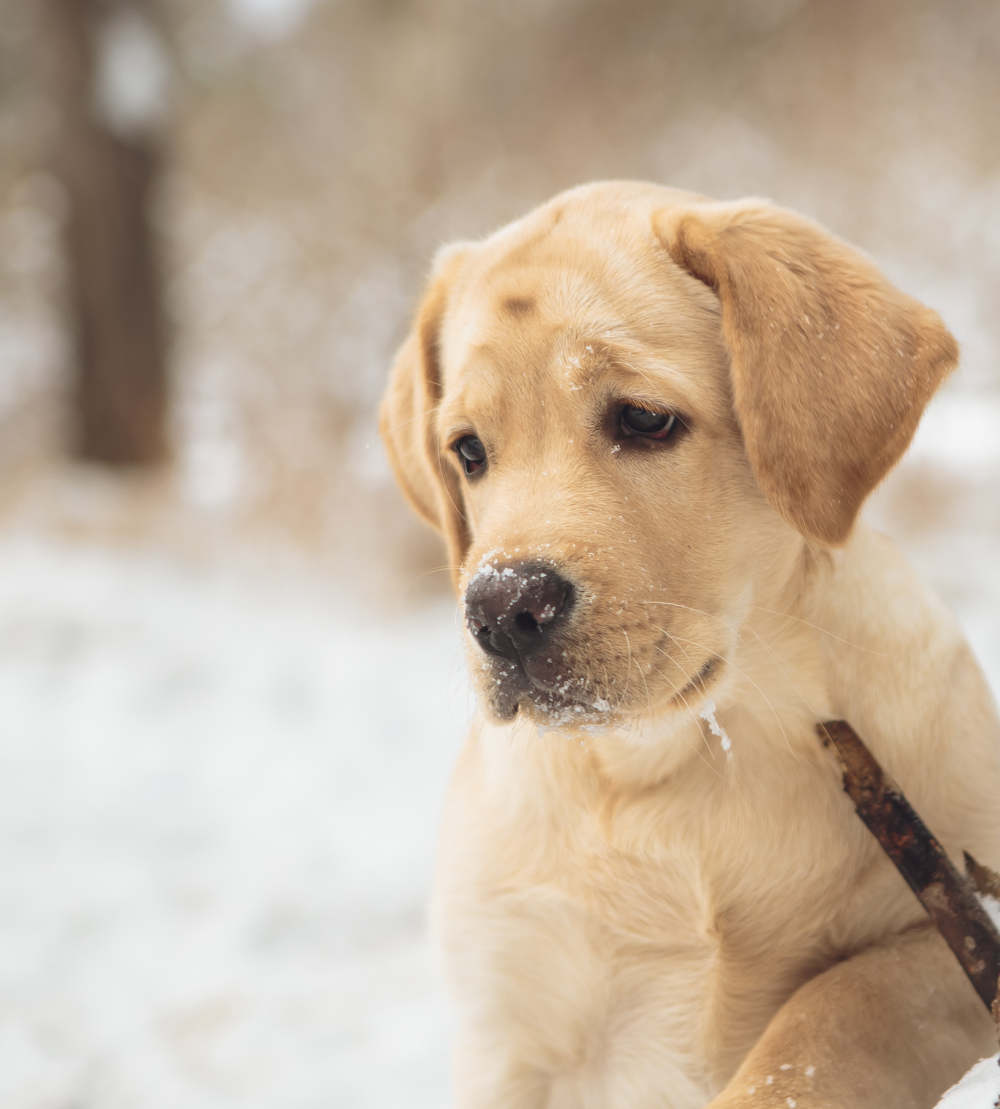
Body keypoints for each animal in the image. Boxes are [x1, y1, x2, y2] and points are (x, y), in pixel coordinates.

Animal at [376, 184, 1000, 1109]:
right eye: (468, 451)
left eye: (643, 419)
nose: (500, 607)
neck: (683, 758)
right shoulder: (506, 1029)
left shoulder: (950, 934)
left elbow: (832, 1007)